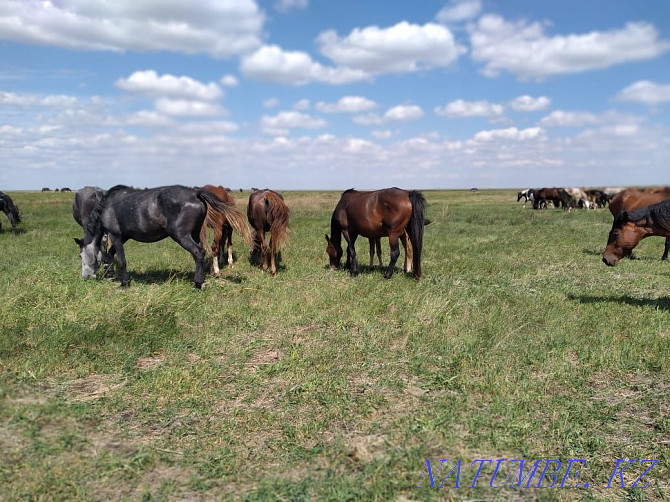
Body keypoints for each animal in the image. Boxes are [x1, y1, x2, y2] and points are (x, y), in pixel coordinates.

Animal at [78, 184, 252, 288]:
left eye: (81, 256)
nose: (85, 277)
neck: (106, 206)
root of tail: (195, 193)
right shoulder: (124, 236)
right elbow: (109, 254)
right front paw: (110, 275)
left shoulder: (116, 235)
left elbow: (121, 260)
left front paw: (124, 283)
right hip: (194, 234)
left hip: (181, 235)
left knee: (198, 252)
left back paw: (197, 283)